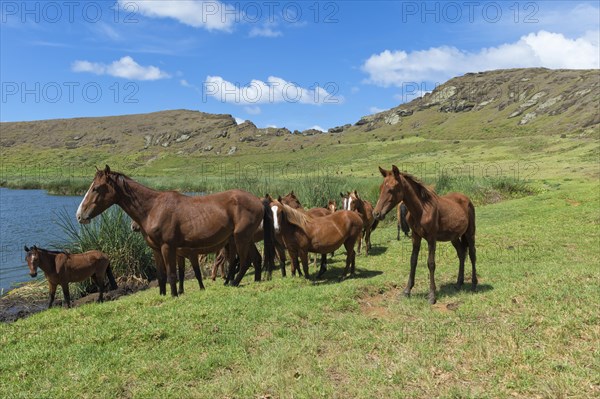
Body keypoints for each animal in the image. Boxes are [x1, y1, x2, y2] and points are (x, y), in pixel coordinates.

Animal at [76, 166, 276, 296]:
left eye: (96, 188)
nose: (79, 215)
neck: (153, 208)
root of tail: (258, 201)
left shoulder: (168, 247)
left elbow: (172, 274)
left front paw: (174, 295)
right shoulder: (156, 250)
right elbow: (161, 275)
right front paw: (163, 295)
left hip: (241, 237)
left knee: (245, 261)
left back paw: (234, 283)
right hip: (244, 238)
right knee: (255, 258)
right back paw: (255, 280)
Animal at [372, 166, 476, 304]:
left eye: (391, 189)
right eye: (380, 188)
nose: (376, 214)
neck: (421, 210)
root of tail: (466, 199)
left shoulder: (431, 239)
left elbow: (431, 264)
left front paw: (432, 295)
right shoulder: (416, 236)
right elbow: (413, 261)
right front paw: (407, 291)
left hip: (470, 233)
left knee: (472, 254)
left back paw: (474, 284)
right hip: (454, 237)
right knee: (461, 253)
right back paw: (459, 283)